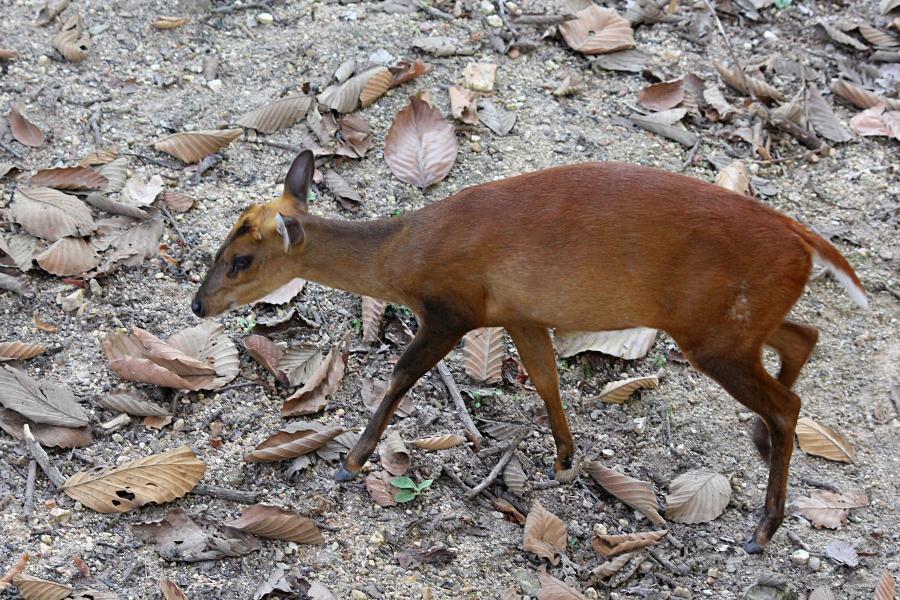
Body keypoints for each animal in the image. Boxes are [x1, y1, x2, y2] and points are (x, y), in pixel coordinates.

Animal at [195, 150, 864, 552]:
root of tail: (804, 240)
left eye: (241, 259)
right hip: (731, 325)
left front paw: (352, 460)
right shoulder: (520, 314)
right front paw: (565, 460)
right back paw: (758, 444)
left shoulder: (453, 309)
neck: (401, 253)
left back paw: (764, 527)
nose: (199, 306)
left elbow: (401, 374)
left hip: (715, 333)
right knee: (804, 338)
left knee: (788, 403)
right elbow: (545, 380)